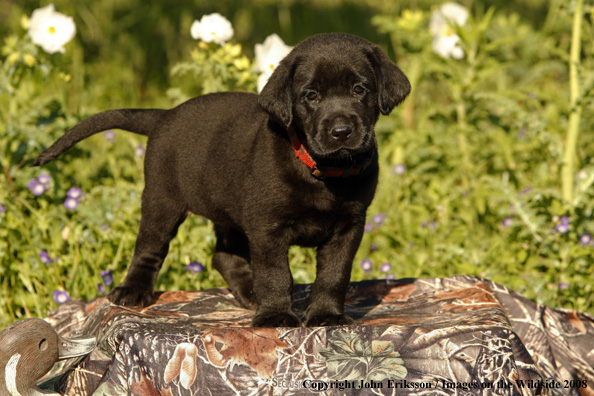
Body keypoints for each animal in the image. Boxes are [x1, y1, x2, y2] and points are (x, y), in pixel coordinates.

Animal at [32, 32, 410, 326]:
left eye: (359, 89)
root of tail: (164, 116)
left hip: (229, 210)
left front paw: (327, 315)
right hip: (161, 201)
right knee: (149, 248)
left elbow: (334, 274)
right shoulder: (267, 227)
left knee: (223, 256)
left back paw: (249, 293)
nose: (342, 131)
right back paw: (134, 290)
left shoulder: (349, 226)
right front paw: (276, 315)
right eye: (311, 96)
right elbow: (276, 274)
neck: (321, 171)